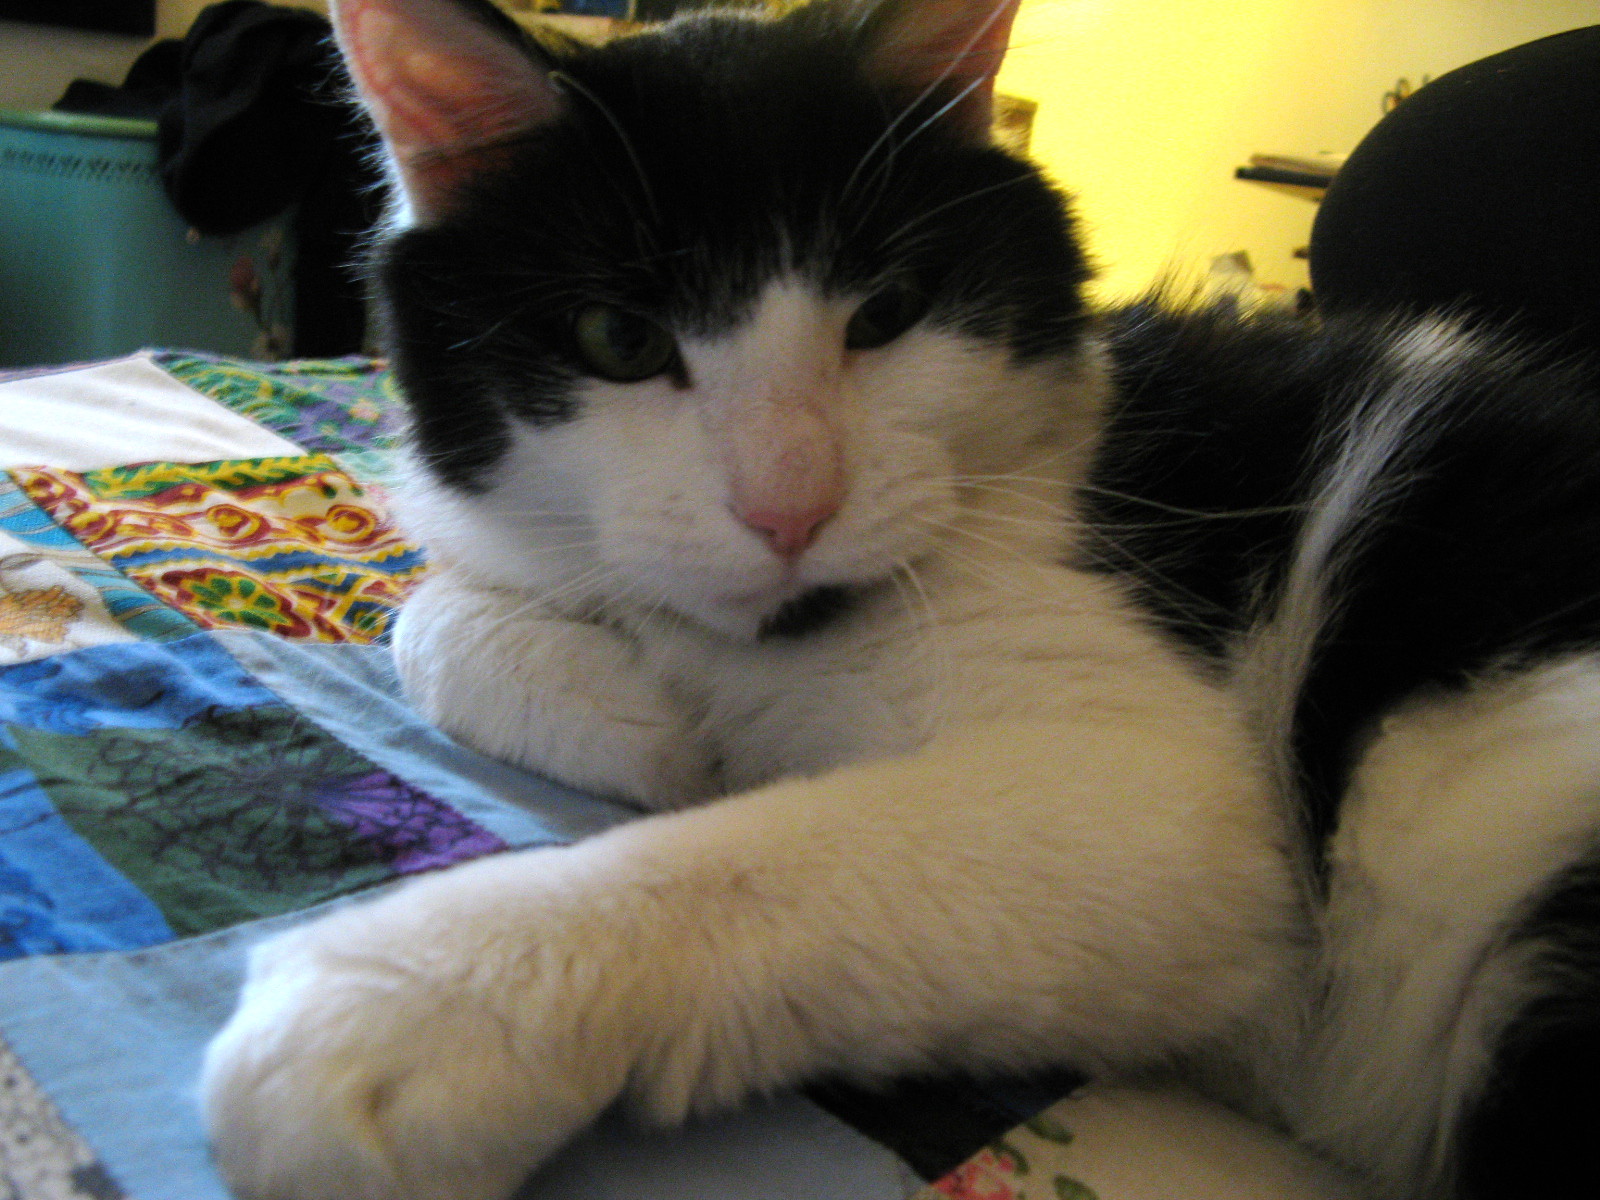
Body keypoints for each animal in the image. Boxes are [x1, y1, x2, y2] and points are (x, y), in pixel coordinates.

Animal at [196, 2, 1600, 1200]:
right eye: (617, 341)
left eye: (889, 313)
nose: (790, 509)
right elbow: (426, 609)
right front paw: (641, 722)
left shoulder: (1160, 801)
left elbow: (764, 856)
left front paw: (415, 1000)